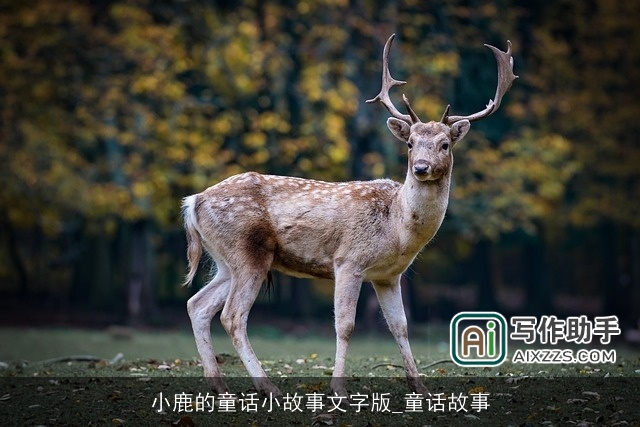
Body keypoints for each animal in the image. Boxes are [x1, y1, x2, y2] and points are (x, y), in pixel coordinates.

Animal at [182, 34, 517, 398]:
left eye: (444, 144)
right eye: (411, 143)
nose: (420, 168)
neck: (397, 228)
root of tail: (194, 201)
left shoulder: (389, 276)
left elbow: (400, 326)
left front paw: (421, 388)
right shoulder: (348, 260)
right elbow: (345, 326)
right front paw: (338, 390)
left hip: (226, 260)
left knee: (197, 305)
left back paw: (220, 386)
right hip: (247, 251)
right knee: (232, 316)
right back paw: (269, 387)